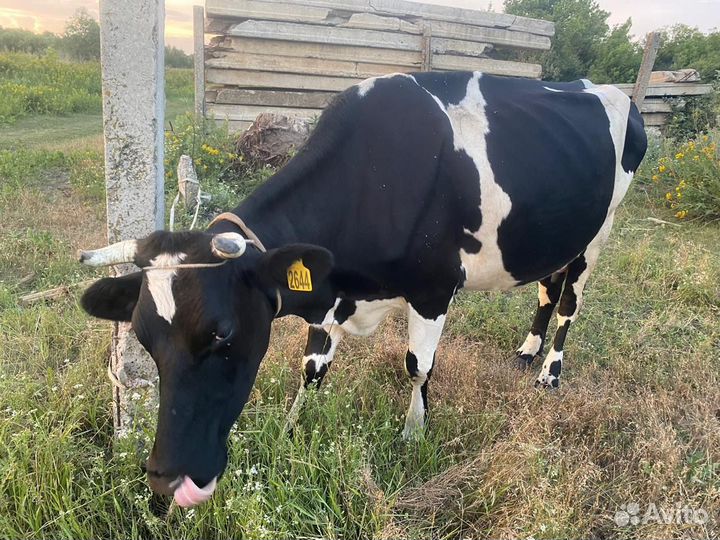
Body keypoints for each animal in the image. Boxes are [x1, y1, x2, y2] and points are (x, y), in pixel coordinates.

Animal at [78, 71, 647, 508]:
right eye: (145, 341)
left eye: (223, 335)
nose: (165, 478)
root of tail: (606, 89)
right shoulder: (327, 296)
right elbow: (311, 369)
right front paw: (290, 429)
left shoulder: (433, 289)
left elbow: (417, 366)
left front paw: (414, 432)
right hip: (555, 233)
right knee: (547, 290)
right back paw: (527, 351)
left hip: (598, 233)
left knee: (569, 301)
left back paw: (550, 372)